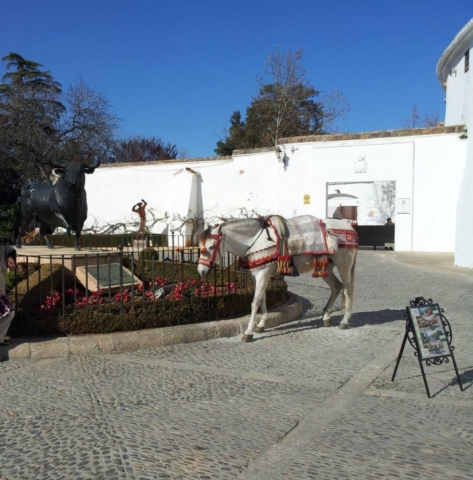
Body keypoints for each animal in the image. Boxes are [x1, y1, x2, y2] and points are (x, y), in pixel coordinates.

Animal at [196, 214, 358, 342]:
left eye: (211, 247)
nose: (201, 271)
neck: (256, 241)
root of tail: (350, 229)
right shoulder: (258, 276)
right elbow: (262, 298)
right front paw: (261, 325)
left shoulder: (263, 274)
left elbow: (255, 302)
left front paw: (249, 331)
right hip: (326, 268)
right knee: (336, 287)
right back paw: (326, 317)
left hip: (343, 266)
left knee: (348, 290)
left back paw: (344, 321)